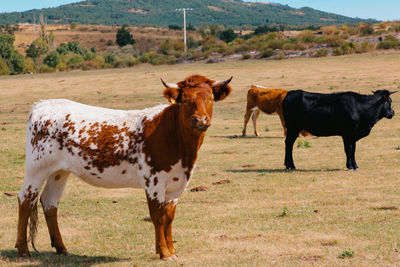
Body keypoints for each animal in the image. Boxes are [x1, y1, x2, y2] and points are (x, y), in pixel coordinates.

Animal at [15, 75, 233, 262]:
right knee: (26, 199)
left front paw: (172, 250)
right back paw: (23, 250)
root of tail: (43, 104)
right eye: (185, 100)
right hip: (36, 168)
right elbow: (157, 217)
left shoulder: (176, 184)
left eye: (211, 99)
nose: (200, 120)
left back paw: (61, 248)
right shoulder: (153, 180)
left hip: (59, 172)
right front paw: (164, 253)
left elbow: (169, 218)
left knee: (50, 202)